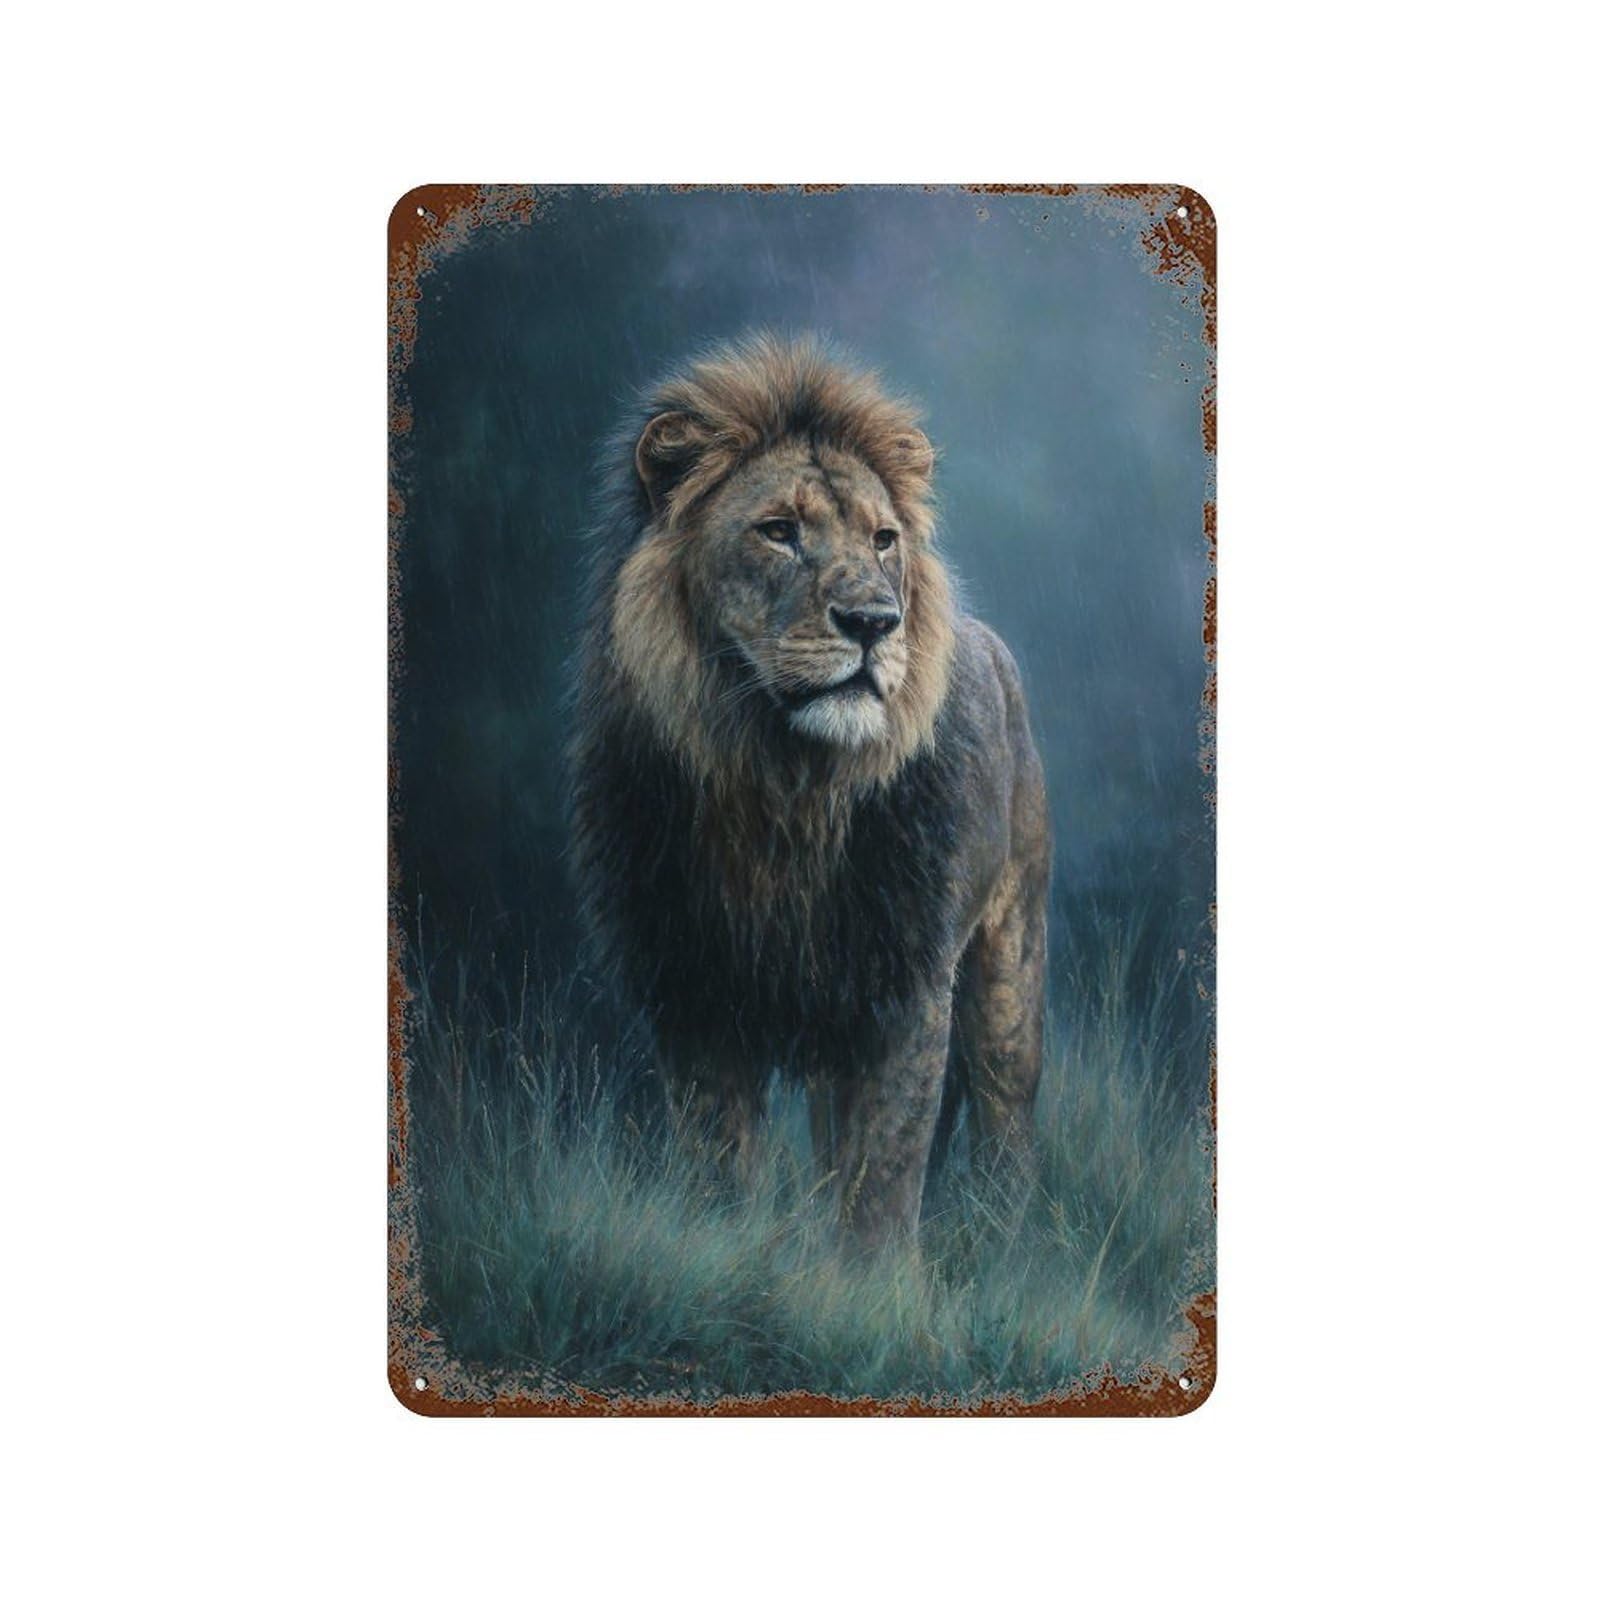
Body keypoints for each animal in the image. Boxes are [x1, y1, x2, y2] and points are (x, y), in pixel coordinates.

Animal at [570, 334, 1051, 1248]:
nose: (872, 622)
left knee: (1007, 1120)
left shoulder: (906, 982)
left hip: (1011, 962)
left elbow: (887, 1174)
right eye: (778, 532)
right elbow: (719, 1161)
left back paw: (1012, 1246)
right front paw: (723, 1255)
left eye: (884, 539)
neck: (785, 784)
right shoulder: (691, 980)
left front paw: (877, 1282)